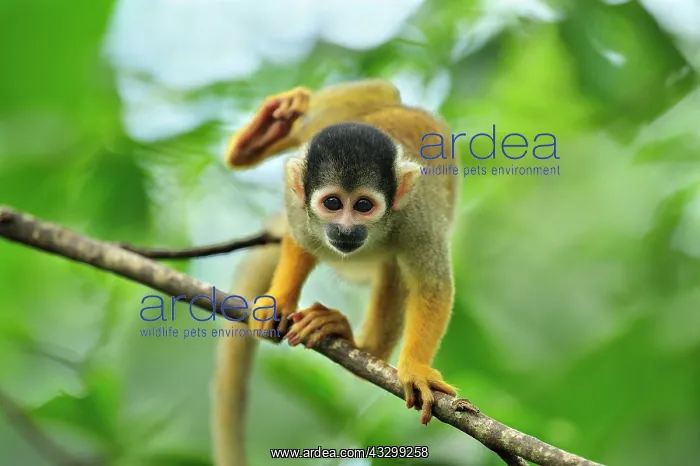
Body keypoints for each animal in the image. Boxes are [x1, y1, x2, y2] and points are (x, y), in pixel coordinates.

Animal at [213, 79, 460, 465]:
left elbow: (432, 285)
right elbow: (300, 241)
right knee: (376, 93)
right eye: (332, 203)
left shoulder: (416, 217)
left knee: (394, 269)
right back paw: (259, 138)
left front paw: (416, 368)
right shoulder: (300, 205)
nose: (345, 230)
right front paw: (279, 301)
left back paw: (361, 346)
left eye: (363, 206)